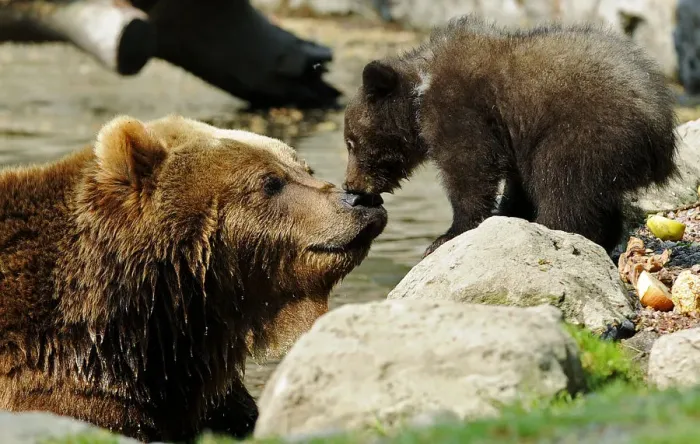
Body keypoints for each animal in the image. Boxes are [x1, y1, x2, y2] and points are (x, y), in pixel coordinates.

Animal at [342, 14, 678, 258]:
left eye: (350, 142)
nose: (350, 185)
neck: (419, 95)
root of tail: (661, 127)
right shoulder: (513, 136)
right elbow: (514, 184)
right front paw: (506, 215)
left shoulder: (462, 110)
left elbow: (470, 169)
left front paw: (446, 235)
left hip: (585, 131)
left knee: (562, 184)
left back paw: (557, 229)